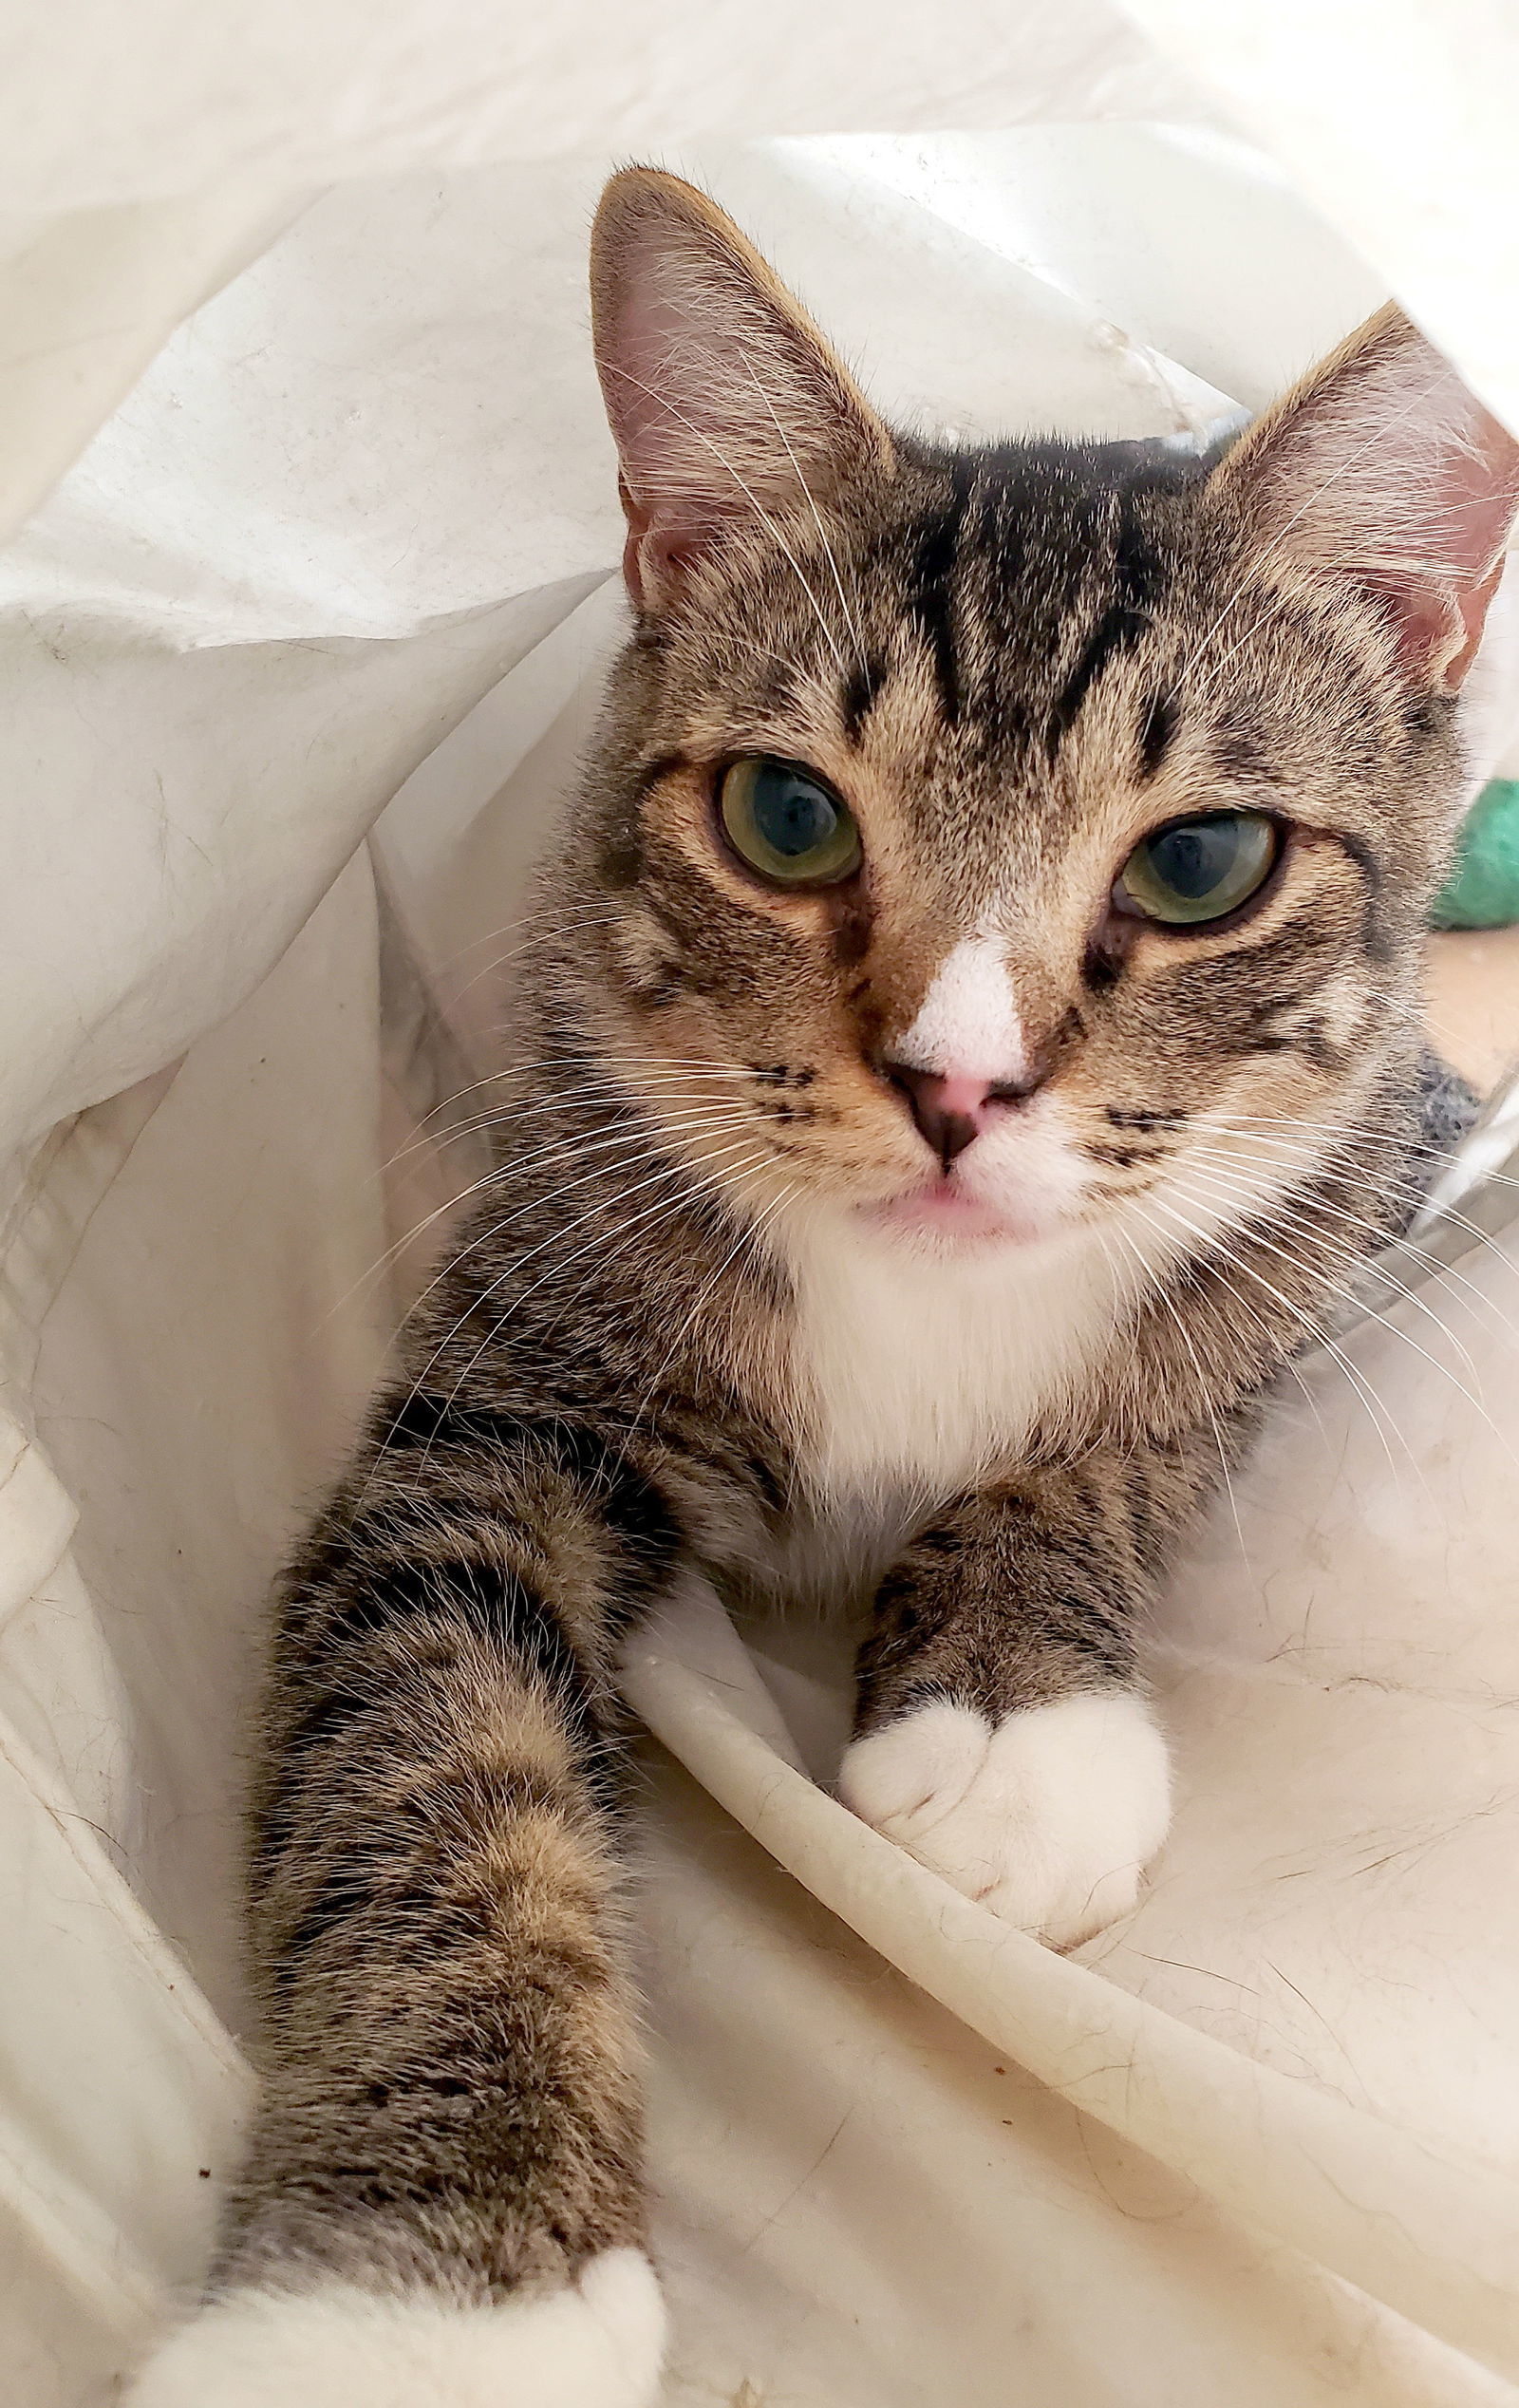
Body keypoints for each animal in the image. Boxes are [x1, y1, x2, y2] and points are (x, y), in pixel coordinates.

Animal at [133, 174, 1519, 2408]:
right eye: (785, 817)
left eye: (1201, 863)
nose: (957, 1087)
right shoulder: (507, 1377)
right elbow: (428, 1727)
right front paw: (412, 2304)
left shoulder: (1364, 1158)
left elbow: (1164, 1396)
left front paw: (1014, 1705)